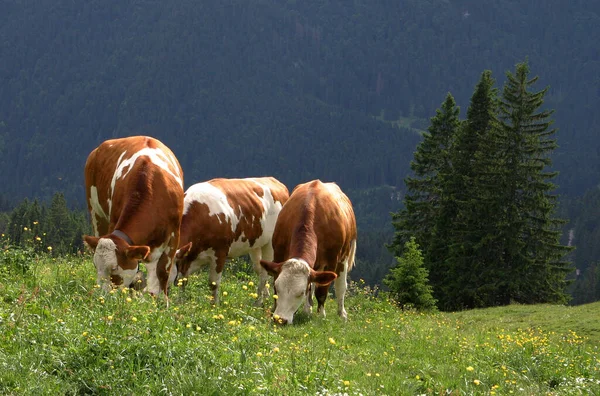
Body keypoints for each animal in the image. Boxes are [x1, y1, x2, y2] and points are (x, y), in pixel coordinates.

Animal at [83, 136, 184, 294]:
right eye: (95, 265)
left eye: (114, 268)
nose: (101, 296)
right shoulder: (114, 220)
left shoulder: (174, 235)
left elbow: (163, 273)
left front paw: (162, 299)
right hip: (95, 212)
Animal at [258, 179, 356, 324]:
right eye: (278, 287)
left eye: (300, 293)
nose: (280, 319)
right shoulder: (279, 253)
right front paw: (274, 308)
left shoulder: (331, 261)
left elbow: (322, 292)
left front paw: (321, 315)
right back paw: (307, 310)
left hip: (344, 256)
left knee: (340, 287)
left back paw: (341, 314)